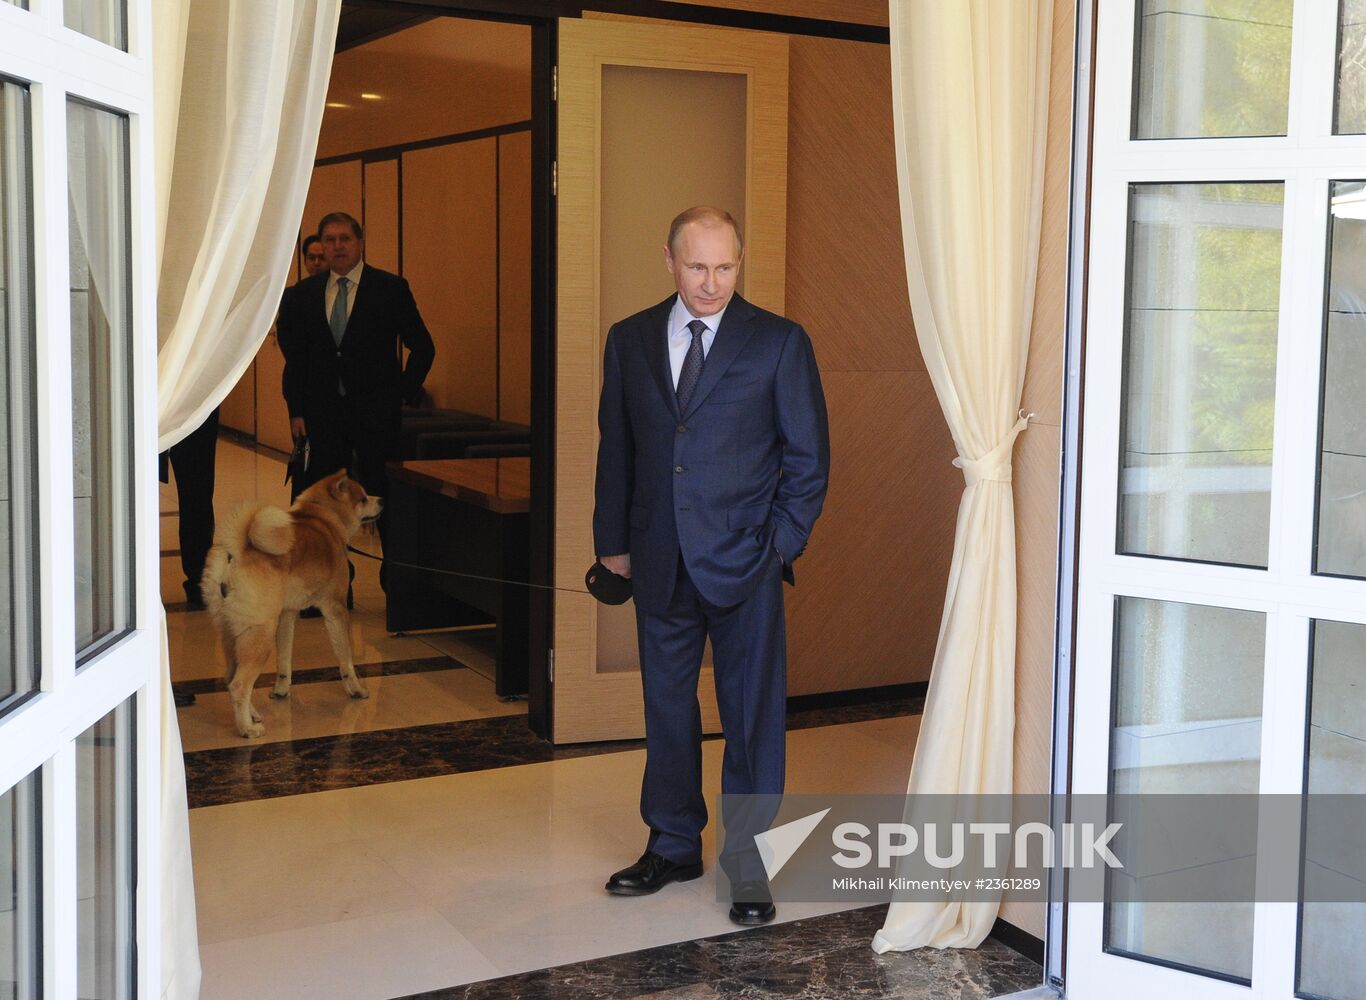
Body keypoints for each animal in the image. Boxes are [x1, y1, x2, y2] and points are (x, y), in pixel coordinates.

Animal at [198, 469, 382, 732]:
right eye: (364, 498)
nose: (382, 500)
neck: (323, 517)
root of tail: (237, 553)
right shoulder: (336, 609)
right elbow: (345, 658)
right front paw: (355, 689)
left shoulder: (287, 614)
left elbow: (284, 659)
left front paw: (281, 690)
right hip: (260, 635)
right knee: (239, 685)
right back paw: (247, 729)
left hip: (232, 634)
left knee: (231, 679)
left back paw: (252, 715)